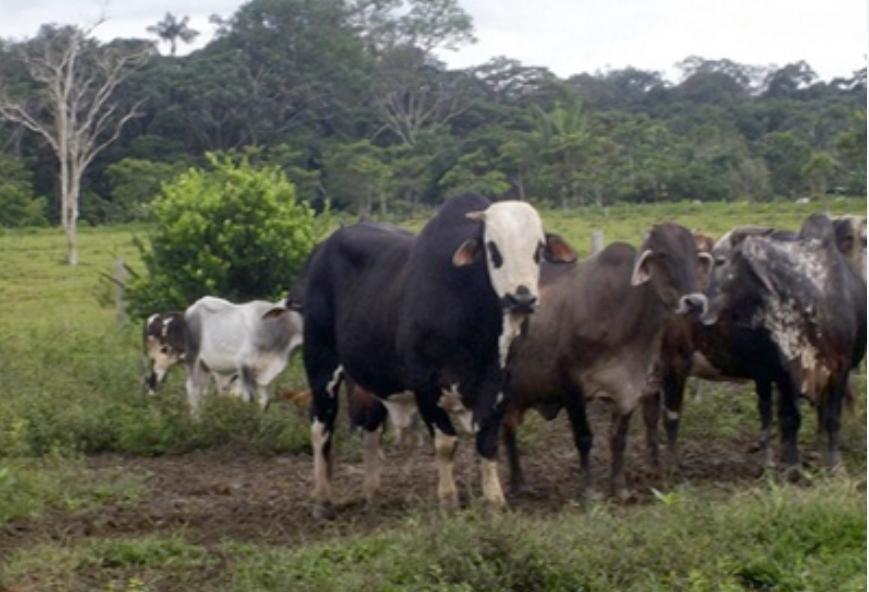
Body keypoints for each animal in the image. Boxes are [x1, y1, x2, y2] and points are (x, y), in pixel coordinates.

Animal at [298, 192, 576, 516]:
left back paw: (372, 493)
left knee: (370, 427)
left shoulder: (499, 381)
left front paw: (494, 500)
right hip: (321, 362)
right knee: (321, 427)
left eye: (539, 249)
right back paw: (322, 500)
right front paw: (448, 499)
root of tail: (323, 248)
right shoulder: (424, 383)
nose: (522, 298)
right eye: (492, 247)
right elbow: (446, 442)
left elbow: (487, 441)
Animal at [502, 224, 712, 502]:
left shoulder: (628, 387)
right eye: (662, 254)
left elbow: (618, 438)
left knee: (508, 429)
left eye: (694, 255)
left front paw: (620, 487)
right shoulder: (571, 385)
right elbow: (583, 437)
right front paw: (588, 491)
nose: (695, 302)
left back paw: (519, 484)